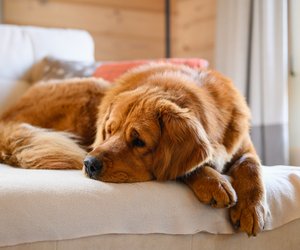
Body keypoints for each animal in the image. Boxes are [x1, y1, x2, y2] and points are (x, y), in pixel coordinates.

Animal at [0, 63, 268, 236]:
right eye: (109, 130)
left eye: (138, 141)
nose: (89, 164)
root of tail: (7, 117)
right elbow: (187, 168)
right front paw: (214, 182)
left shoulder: (244, 147)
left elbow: (251, 168)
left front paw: (252, 208)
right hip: (93, 89)